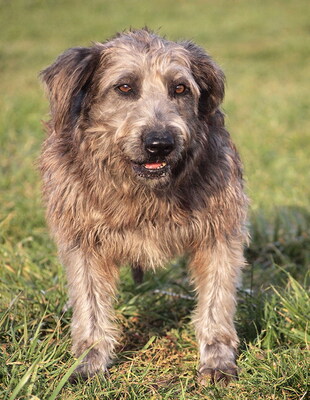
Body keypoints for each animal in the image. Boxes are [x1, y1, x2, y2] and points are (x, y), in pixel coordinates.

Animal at [40, 28, 248, 384]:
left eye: (179, 88)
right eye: (125, 87)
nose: (160, 144)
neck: (144, 191)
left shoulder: (218, 232)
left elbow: (216, 300)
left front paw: (217, 358)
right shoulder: (83, 239)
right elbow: (89, 301)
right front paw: (89, 359)